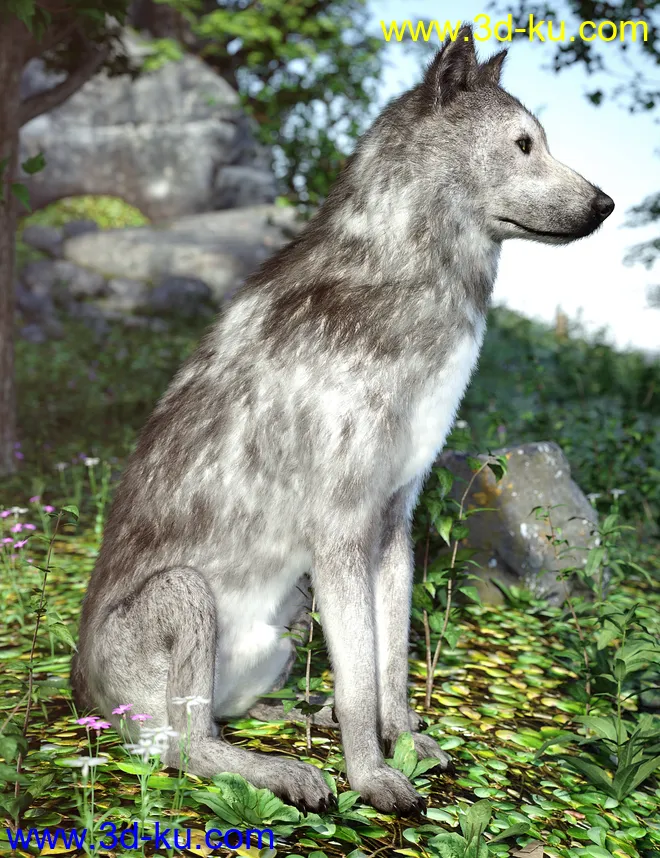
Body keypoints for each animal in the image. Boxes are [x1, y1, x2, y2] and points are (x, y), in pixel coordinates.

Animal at [71, 26, 614, 815]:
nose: (607, 205)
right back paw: (285, 770)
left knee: (228, 715)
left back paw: (298, 715)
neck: (407, 279)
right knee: (186, 746)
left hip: (289, 618)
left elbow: (387, 671)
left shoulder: (391, 525)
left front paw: (405, 742)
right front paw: (373, 779)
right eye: (522, 145)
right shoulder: (340, 530)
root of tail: (79, 694)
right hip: (188, 593)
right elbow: (361, 685)